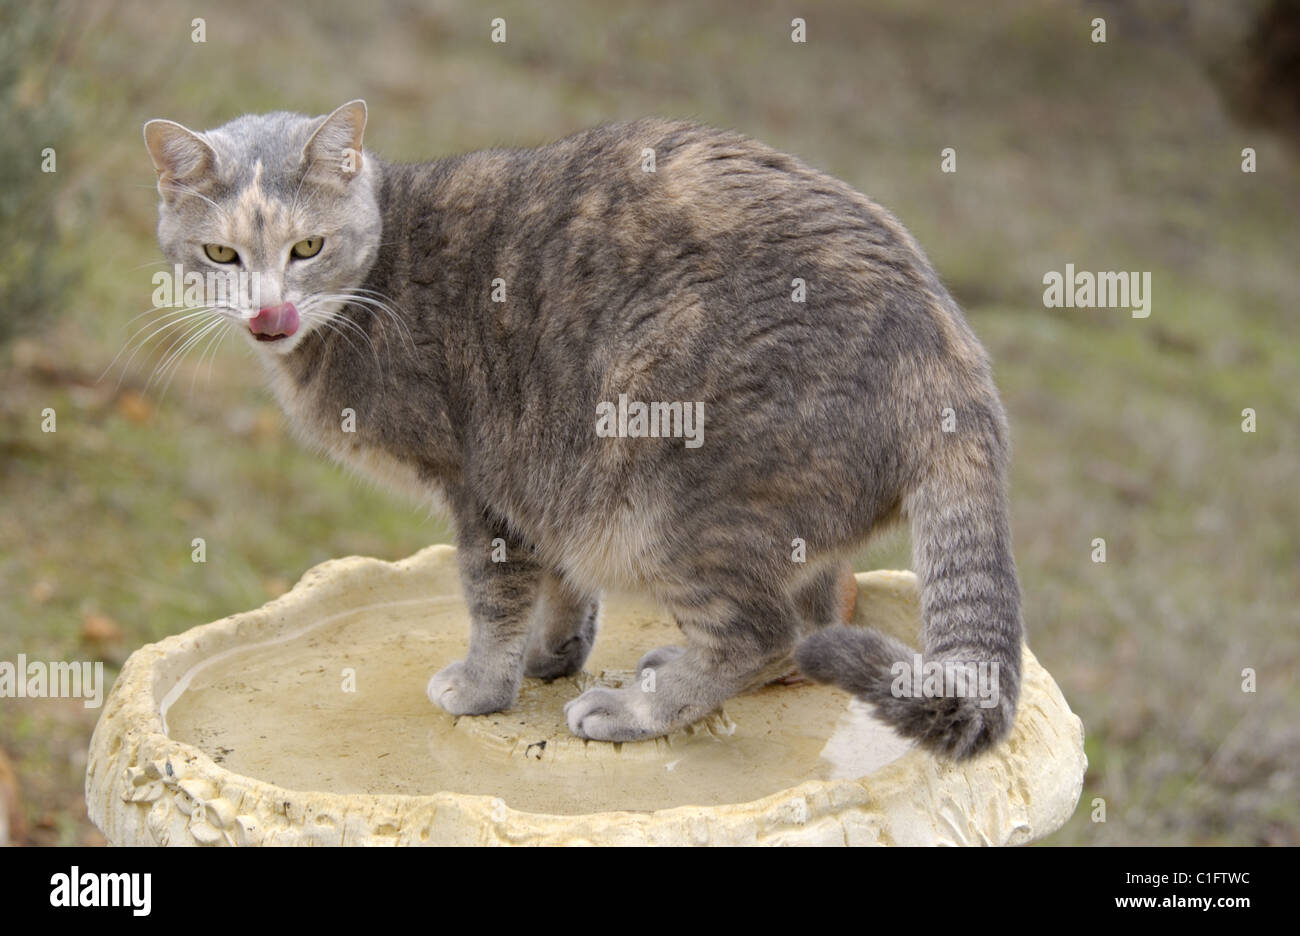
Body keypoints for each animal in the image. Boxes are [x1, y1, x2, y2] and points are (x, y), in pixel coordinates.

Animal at [147, 100, 1019, 759]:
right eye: (221, 254)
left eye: (307, 247)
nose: (268, 313)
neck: (379, 273)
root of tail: (952, 357)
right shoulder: (549, 477)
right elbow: (563, 583)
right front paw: (554, 657)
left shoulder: (486, 487)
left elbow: (493, 599)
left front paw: (483, 687)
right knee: (816, 620)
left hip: (681, 500)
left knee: (765, 634)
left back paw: (639, 710)